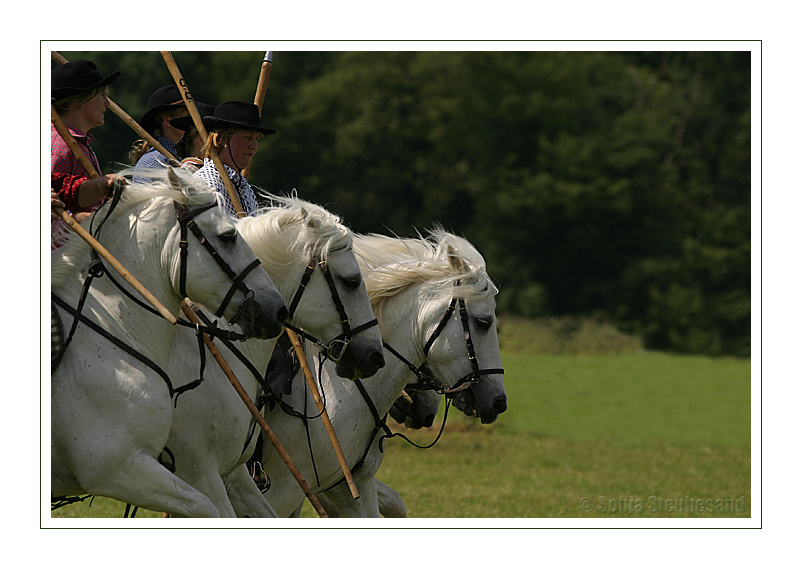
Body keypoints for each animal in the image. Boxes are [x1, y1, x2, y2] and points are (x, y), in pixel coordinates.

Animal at [258, 226, 506, 516]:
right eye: (483, 322)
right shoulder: (285, 488)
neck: (333, 391)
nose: (498, 402)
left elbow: (392, 504)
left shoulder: (349, 487)